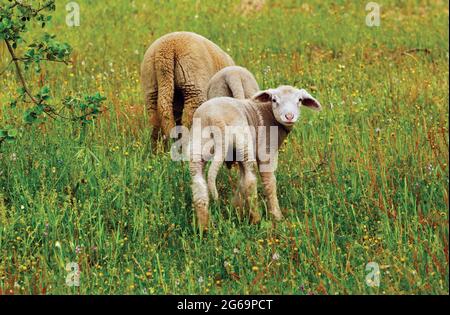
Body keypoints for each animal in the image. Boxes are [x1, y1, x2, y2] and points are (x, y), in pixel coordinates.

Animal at [188, 86, 322, 230]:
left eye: (300, 100)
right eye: (274, 100)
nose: (289, 116)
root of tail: (216, 119)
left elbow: (241, 180)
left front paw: (237, 208)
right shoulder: (266, 150)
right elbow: (269, 182)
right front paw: (276, 216)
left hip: (198, 145)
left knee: (198, 182)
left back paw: (203, 227)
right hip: (243, 140)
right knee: (250, 180)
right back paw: (256, 219)